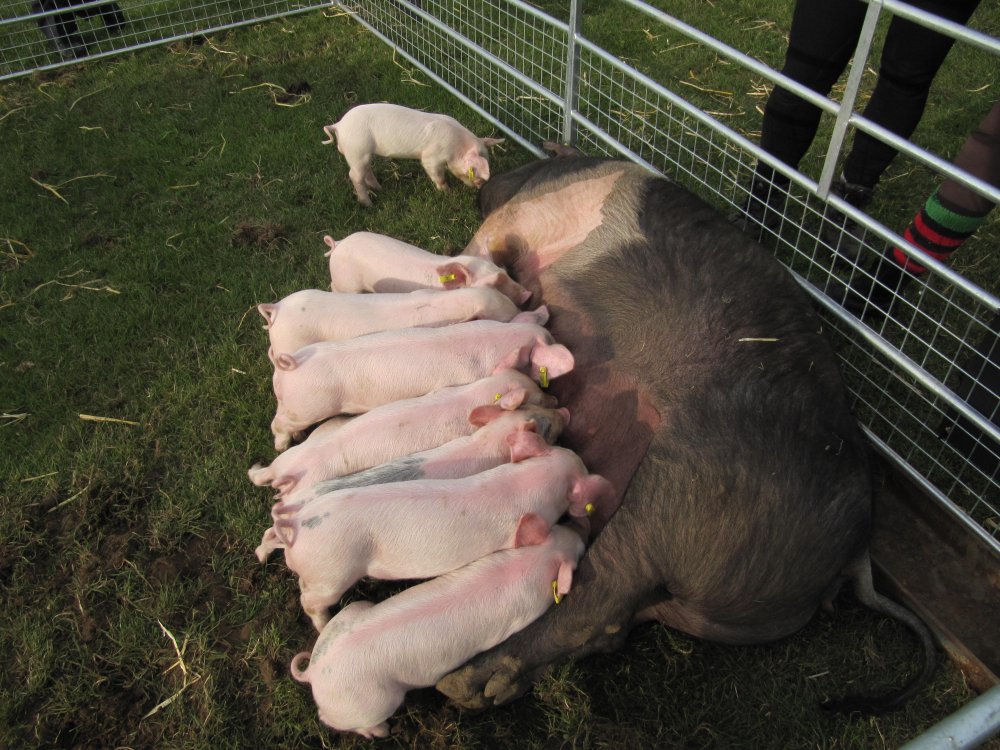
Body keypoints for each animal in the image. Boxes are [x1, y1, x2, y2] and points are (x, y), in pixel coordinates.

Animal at [436, 154, 936, 716]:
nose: (485, 186)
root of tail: (855, 552)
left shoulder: (514, 220)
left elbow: (480, 246)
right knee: (612, 625)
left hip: (683, 495)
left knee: (601, 595)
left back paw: (461, 684)